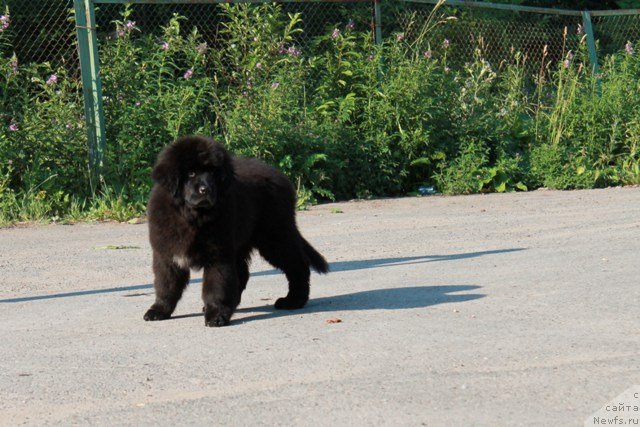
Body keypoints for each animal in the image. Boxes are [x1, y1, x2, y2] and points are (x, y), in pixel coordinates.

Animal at [142, 137, 328, 328]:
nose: (206, 190)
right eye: (191, 173)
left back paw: (293, 300)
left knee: (298, 264)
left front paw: (216, 316)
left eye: (213, 174)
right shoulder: (167, 255)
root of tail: (280, 176)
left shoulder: (219, 255)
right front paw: (159, 310)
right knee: (243, 274)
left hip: (274, 236)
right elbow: (166, 286)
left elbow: (216, 287)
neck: (192, 217)